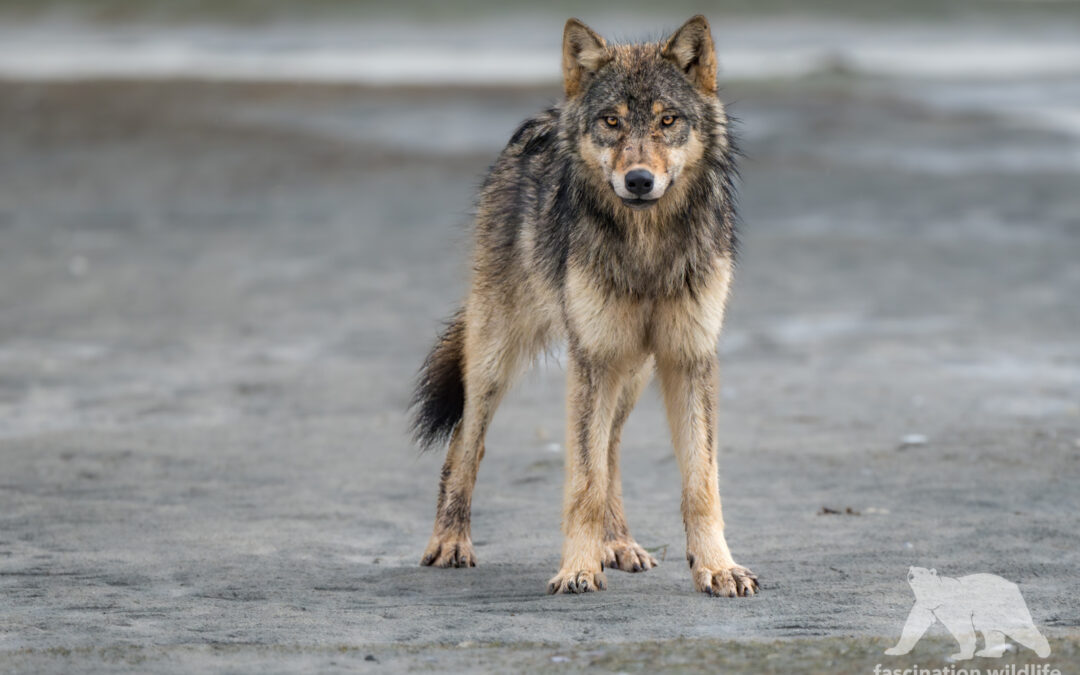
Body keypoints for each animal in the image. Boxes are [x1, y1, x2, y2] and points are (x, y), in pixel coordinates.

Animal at [411, 15, 757, 597]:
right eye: (611, 121)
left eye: (667, 120)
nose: (638, 180)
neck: (646, 248)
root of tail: (546, 117)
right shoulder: (590, 359)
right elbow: (582, 481)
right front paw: (576, 567)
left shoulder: (689, 358)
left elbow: (700, 482)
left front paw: (717, 567)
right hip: (498, 359)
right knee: (467, 443)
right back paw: (451, 541)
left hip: (632, 370)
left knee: (612, 448)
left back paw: (619, 544)